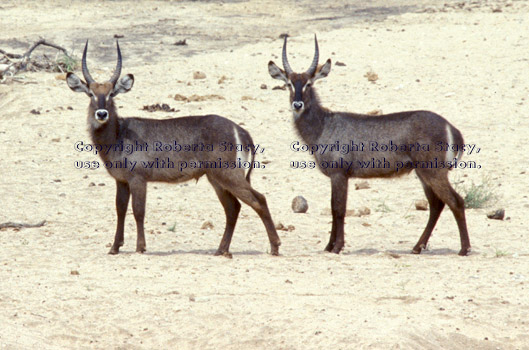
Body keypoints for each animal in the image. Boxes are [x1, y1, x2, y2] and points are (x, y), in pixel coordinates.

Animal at [65, 41, 280, 256]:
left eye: (111, 94)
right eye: (91, 94)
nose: (101, 114)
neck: (119, 134)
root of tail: (241, 131)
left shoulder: (138, 178)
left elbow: (138, 211)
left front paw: (140, 247)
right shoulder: (121, 180)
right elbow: (120, 210)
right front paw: (114, 247)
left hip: (228, 174)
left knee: (259, 199)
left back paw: (275, 247)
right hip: (216, 178)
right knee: (233, 208)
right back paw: (221, 250)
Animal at [268, 35, 470, 256]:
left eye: (309, 84)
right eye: (289, 83)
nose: (297, 105)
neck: (323, 125)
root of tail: (451, 127)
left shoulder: (339, 174)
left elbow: (338, 209)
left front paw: (337, 246)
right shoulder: (336, 176)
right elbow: (333, 209)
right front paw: (329, 246)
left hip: (433, 171)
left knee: (456, 201)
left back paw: (464, 249)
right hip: (423, 172)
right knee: (436, 204)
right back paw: (417, 247)